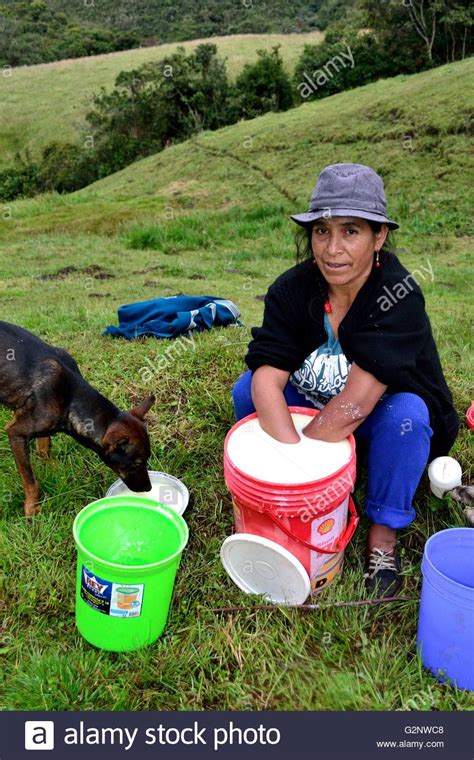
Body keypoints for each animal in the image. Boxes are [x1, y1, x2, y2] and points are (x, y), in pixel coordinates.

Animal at [0, 320, 153, 516]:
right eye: (134, 464)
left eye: (148, 458)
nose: (148, 488)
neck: (72, 398)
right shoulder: (16, 433)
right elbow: (31, 481)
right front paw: (32, 509)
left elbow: (44, 449)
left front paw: (52, 468)